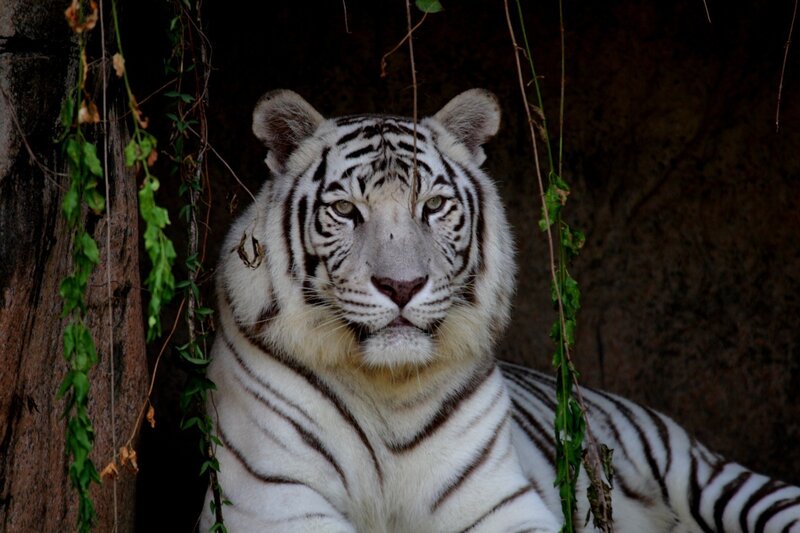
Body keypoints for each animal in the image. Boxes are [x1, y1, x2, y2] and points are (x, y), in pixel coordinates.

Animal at [201, 88, 800, 532]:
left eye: (432, 206)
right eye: (347, 210)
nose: (402, 285)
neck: (386, 388)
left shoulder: (497, 502)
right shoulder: (273, 499)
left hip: (708, 481)